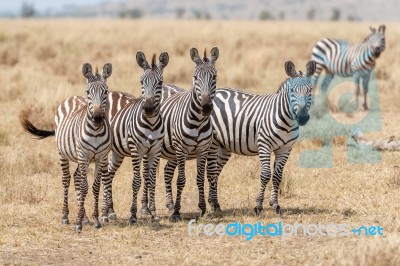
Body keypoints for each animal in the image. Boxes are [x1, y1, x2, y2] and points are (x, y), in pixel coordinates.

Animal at [20, 62, 112, 231]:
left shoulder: (101, 157)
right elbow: (84, 186)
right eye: (88, 92)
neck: (96, 131)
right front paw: (78, 223)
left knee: (76, 178)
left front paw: (95, 220)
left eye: (106, 92)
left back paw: (85, 217)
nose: (97, 118)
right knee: (67, 179)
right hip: (63, 154)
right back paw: (65, 217)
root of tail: (72, 97)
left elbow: (95, 186)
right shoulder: (83, 156)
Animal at [104, 50, 168, 224]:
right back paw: (105, 212)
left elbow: (151, 180)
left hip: (117, 152)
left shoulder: (155, 150)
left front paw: (153, 213)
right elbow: (137, 181)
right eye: (141, 81)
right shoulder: (136, 150)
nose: (148, 108)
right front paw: (133, 214)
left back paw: (110, 211)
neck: (151, 123)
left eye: (160, 82)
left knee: (109, 174)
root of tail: (110, 92)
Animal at [140, 46, 219, 220]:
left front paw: (202, 208)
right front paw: (177, 211)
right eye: (195, 78)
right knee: (147, 174)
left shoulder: (202, 150)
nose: (206, 107)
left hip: (171, 151)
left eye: (214, 77)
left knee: (167, 173)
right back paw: (145, 208)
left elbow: (199, 178)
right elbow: (181, 180)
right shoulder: (182, 149)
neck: (198, 121)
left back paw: (169, 205)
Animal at [205, 60, 318, 216]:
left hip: (224, 146)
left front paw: (275, 204)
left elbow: (277, 176)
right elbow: (265, 175)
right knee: (211, 171)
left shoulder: (285, 149)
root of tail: (218, 91)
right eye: (292, 91)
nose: (302, 118)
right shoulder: (264, 145)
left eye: (310, 90)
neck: (287, 120)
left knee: (216, 171)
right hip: (213, 143)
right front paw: (258, 206)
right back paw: (214, 205)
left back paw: (214, 203)